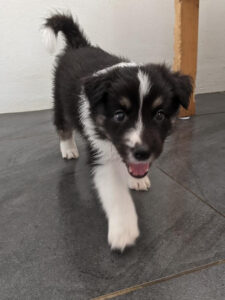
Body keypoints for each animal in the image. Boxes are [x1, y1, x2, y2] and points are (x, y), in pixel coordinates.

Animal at [42, 12, 192, 251]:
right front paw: (123, 230)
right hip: (60, 100)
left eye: (159, 115)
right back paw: (68, 149)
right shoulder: (101, 154)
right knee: (63, 125)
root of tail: (78, 45)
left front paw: (136, 179)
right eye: (120, 115)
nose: (142, 152)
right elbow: (116, 193)